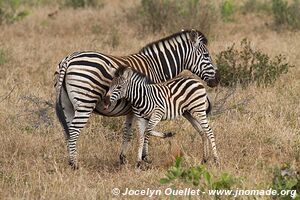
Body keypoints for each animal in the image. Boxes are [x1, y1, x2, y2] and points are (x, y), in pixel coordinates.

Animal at [54, 28, 219, 168]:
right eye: (206, 56)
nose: (217, 80)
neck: (157, 66)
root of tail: (68, 59)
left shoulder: (133, 109)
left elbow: (128, 132)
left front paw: (123, 158)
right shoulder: (148, 102)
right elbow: (145, 133)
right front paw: (145, 158)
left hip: (67, 105)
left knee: (68, 130)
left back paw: (70, 160)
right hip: (85, 103)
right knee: (74, 130)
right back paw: (74, 164)